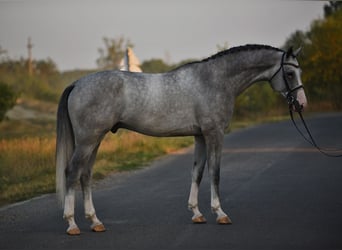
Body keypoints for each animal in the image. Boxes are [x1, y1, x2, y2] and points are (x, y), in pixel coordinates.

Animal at [56, 44, 308, 234]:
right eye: (289, 73)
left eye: (299, 72)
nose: (302, 103)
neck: (215, 80)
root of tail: (77, 84)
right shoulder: (214, 133)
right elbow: (215, 173)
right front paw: (220, 213)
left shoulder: (200, 136)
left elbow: (197, 173)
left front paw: (197, 213)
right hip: (88, 140)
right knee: (72, 173)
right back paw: (72, 224)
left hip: (94, 140)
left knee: (85, 175)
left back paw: (95, 222)